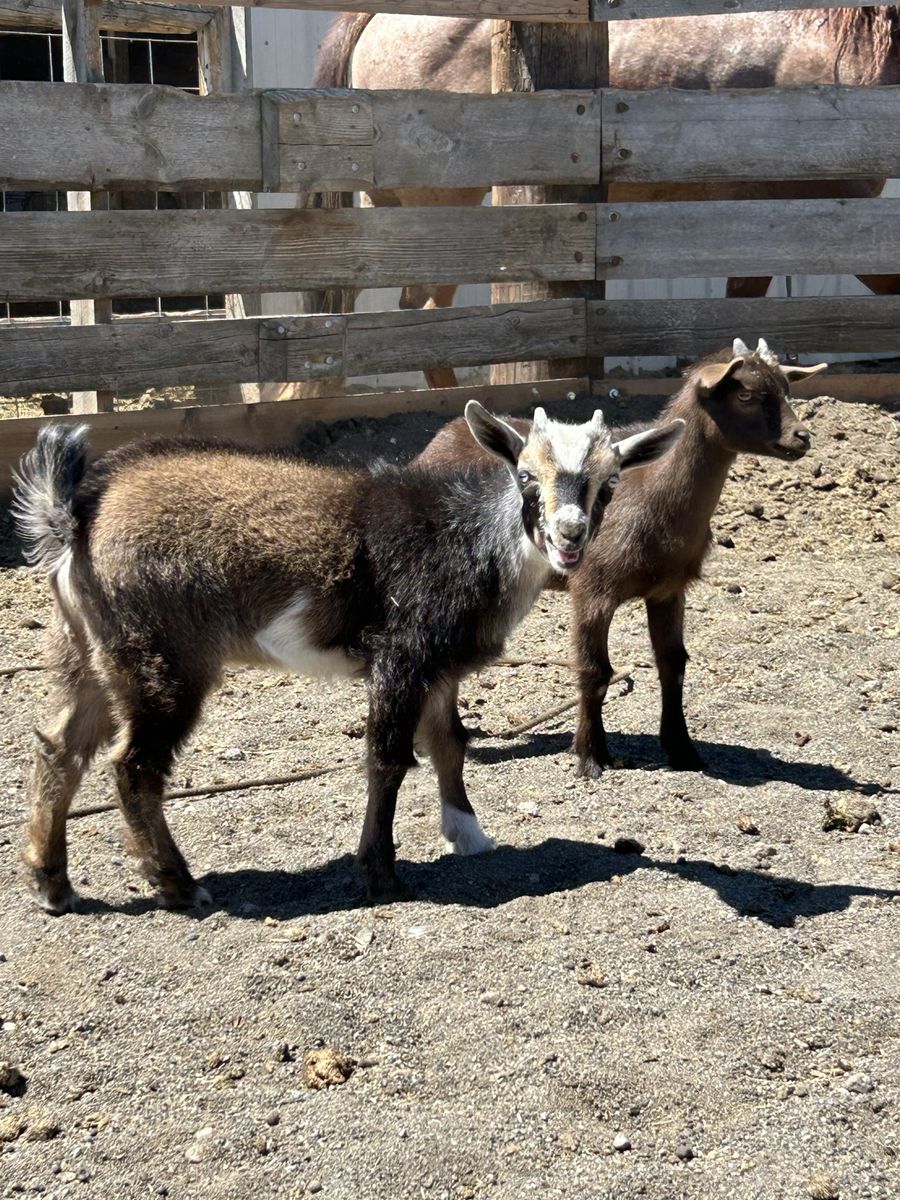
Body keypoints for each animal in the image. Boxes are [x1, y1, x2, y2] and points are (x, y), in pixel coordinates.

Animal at [13, 406, 683, 911]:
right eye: (524, 476)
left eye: (609, 484)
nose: (569, 536)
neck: (469, 540)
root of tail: (78, 515)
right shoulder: (400, 655)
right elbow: (387, 758)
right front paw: (381, 875)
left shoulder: (438, 667)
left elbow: (450, 742)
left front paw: (468, 833)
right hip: (162, 654)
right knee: (134, 766)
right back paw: (179, 886)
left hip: (90, 648)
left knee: (59, 747)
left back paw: (53, 884)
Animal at [415, 340, 826, 777]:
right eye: (745, 393)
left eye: (786, 388)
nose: (801, 437)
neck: (653, 495)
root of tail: (438, 441)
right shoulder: (592, 589)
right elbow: (595, 670)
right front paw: (591, 755)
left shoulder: (669, 590)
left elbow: (673, 664)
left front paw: (683, 749)